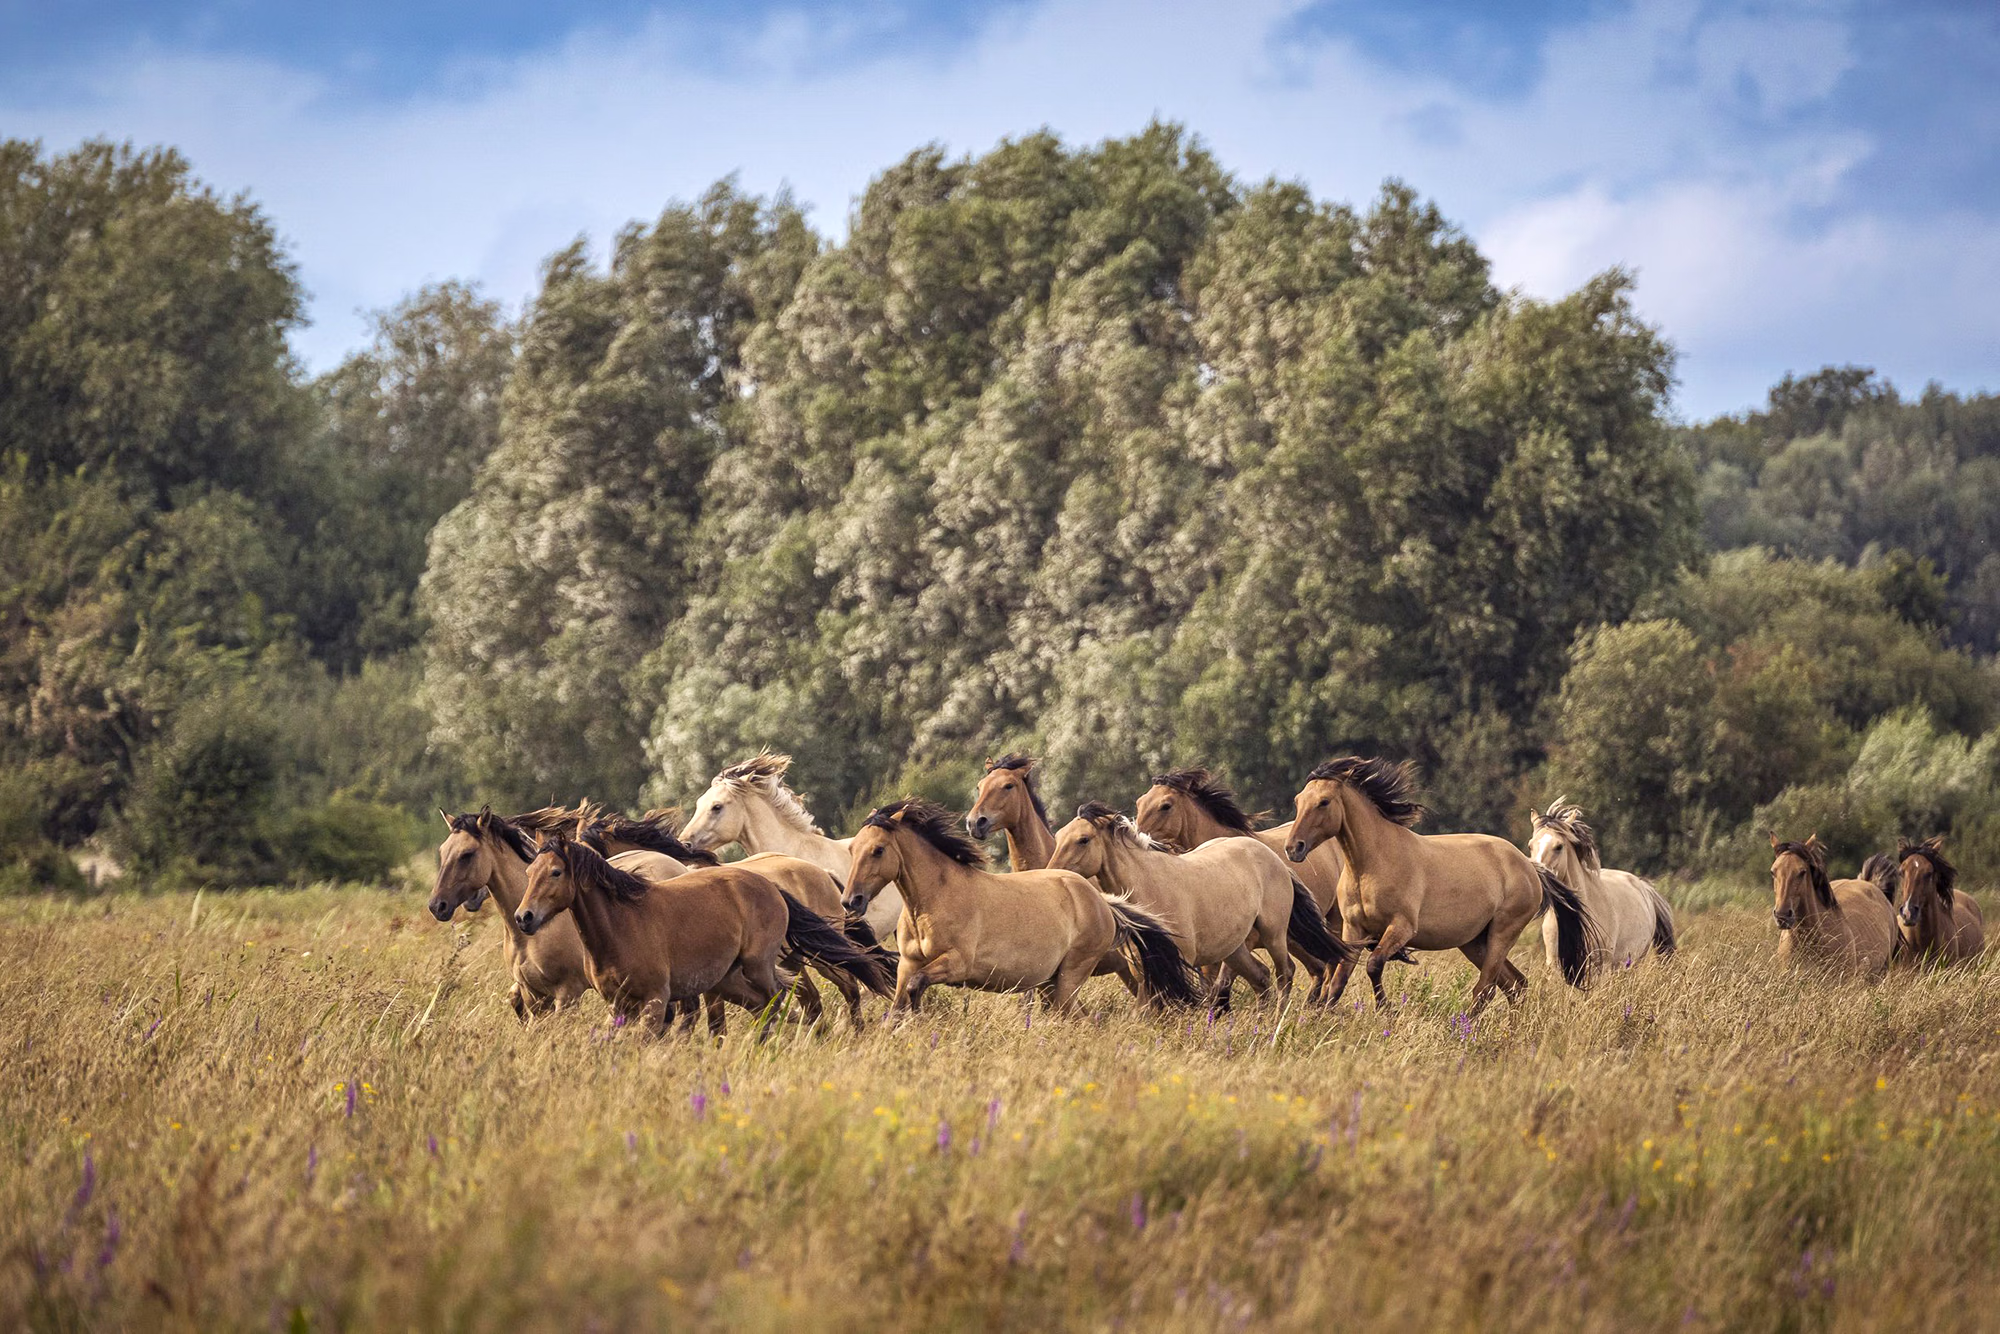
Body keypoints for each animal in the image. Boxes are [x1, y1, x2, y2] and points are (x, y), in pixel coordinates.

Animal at [515, 832, 893, 1038]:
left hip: (762, 966)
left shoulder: (656, 1000)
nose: (524, 917)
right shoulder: (619, 1004)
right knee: (773, 1005)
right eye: (529, 872)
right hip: (732, 978)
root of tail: (771, 885)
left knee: (782, 1001)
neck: (621, 924)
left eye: (555, 872)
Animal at [839, 798, 1201, 1016]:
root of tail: (1101, 901)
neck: (933, 900)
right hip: (1052, 984)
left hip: (1070, 977)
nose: (851, 900)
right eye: (853, 849)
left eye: (878, 850)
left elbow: (917, 989)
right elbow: (898, 1005)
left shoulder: (956, 964)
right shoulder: (907, 965)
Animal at [1049, 802, 1352, 1008]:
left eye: (1083, 839)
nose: (1051, 873)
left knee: (1284, 972)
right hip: (1234, 948)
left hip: (1273, 933)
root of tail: (1275, 859)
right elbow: (1146, 1007)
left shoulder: (1183, 959)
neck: (1149, 883)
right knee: (1261, 977)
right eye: (1060, 835)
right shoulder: (1144, 966)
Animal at [1287, 757, 1596, 1015]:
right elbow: (1339, 980)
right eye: (1298, 800)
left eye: (1324, 802)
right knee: (1515, 985)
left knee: (1485, 989)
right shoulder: (1354, 929)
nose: (1293, 848)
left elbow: (1374, 965)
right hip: (1475, 942)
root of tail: (1530, 866)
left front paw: (1386, 1010)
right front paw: (1323, 1018)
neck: (1372, 863)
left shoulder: (1401, 928)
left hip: (1502, 933)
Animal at [1527, 799, 1676, 975]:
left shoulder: (1600, 966)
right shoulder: (1556, 965)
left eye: (1558, 846)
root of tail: (1643, 886)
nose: (1537, 879)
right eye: (1530, 846)